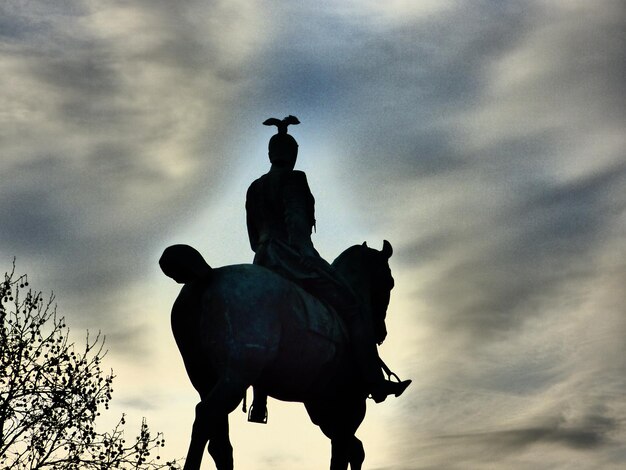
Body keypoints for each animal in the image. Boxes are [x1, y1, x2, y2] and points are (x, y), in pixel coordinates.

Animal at [160, 241, 394, 468]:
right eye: (389, 282)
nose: (381, 333)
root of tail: (209, 274)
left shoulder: (326, 412)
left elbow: (351, 451)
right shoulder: (350, 408)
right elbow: (343, 454)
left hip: (204, 379)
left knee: (219, 444)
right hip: (235, 377)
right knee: (206, 416)